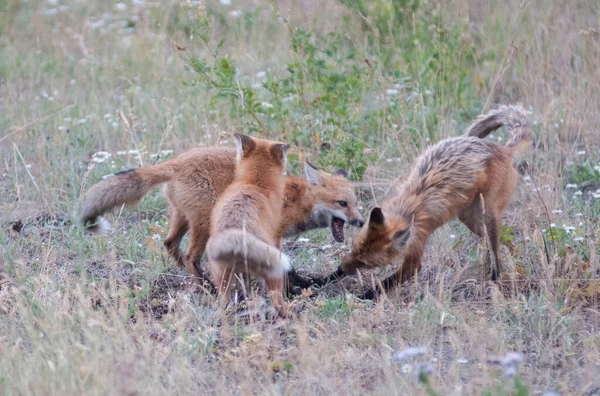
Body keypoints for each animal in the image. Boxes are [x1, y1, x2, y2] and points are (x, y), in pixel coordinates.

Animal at [81, 142, 364, 288]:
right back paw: (207, 287)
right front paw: (296, 287)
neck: (296, 199)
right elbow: (284, 265)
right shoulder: (272, 233)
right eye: (342, 203)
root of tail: (176, 162)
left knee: (170, 244)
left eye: (356, 203)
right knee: (190, 256)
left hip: (184, 218)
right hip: (205, 221)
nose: (361, 221)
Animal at [205, 135, 292, 318]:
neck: (255, 182)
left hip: (220, 277)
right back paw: (288, 312)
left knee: (225, 301)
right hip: (274, 269)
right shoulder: (277, 239)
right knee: (277, 301)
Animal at [318, 103, 536, 298]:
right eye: (353, 248)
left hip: (488, 215)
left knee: (498, 252)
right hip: (470, 219)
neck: (405, 210)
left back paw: (496, 282)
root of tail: (502, 149)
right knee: (507, 244)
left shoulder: (415, 252)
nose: (343, 267)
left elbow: (384, 284)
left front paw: (362, 298)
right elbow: (333, 277)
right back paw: (513, 266)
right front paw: (320, 281)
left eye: (366, 264)